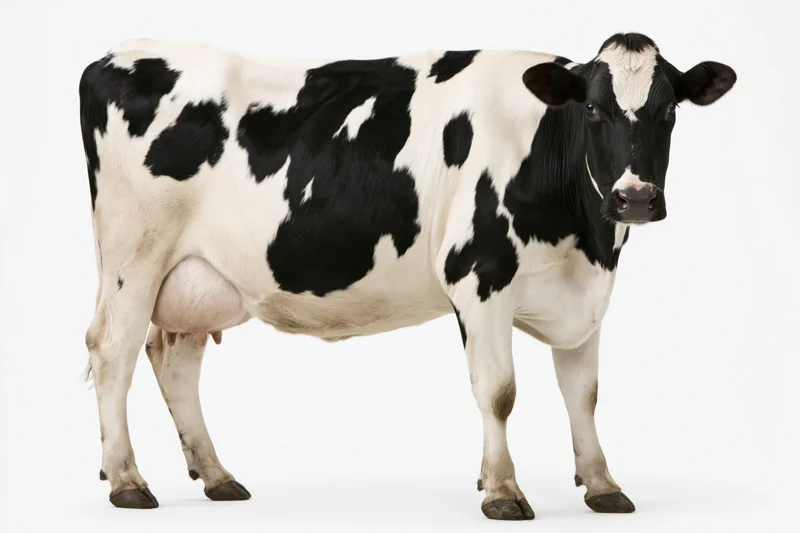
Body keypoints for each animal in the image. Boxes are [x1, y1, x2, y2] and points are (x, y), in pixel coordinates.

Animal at [78, 32, 736, 518]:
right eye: (594, 108)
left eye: (669, 109)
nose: (635, 198)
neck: (586, 239)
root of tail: (115, 55)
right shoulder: (480, 276)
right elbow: (499, 391)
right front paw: (502, 490)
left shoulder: (583, 293)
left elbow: (585, 395)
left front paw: (602, 485)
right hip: (133, 257)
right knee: (112, 351)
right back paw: (127, 481)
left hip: (196, 278)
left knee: (174, 358)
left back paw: (216, 476)